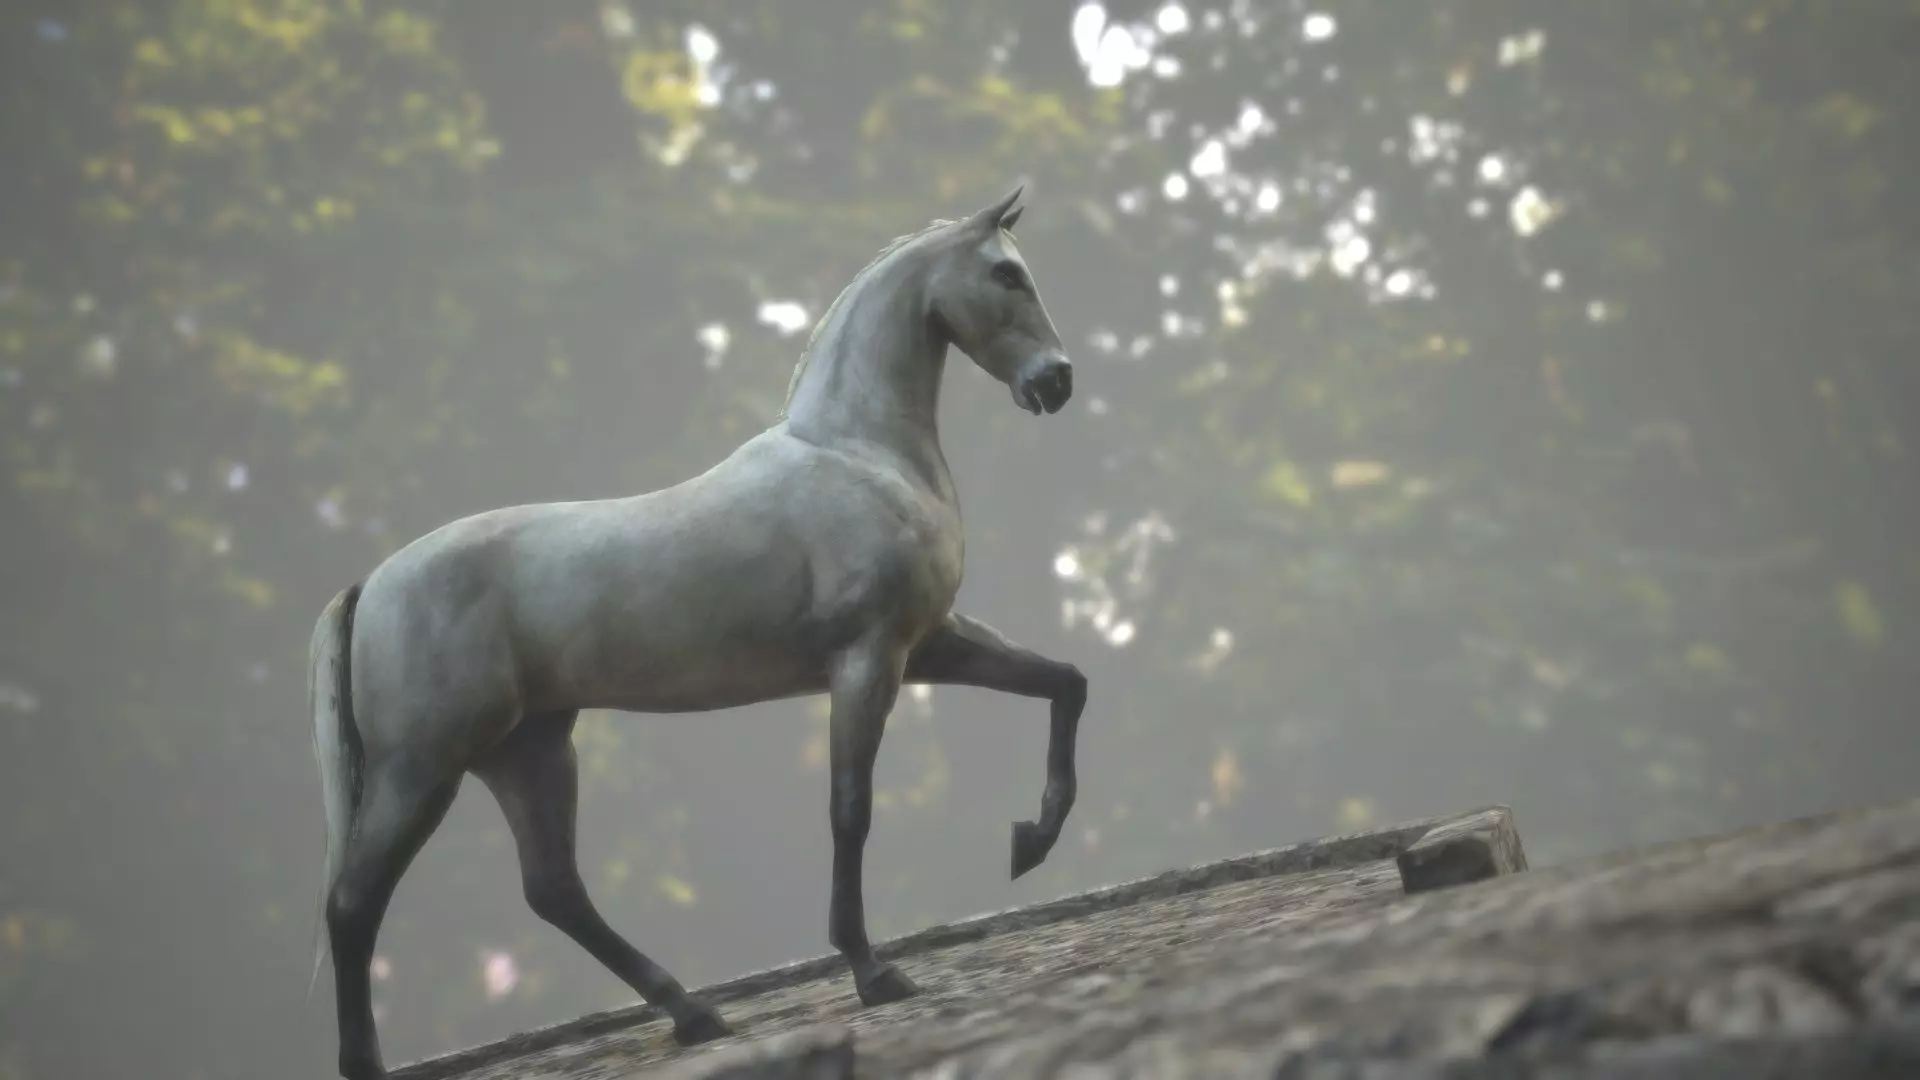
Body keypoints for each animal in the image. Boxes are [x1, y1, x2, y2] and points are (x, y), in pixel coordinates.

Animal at [308, 185, 1087, 1079]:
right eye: (1005, 274)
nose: (1056, 381)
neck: (859, 451)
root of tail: (371, 585)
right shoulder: (870, 660)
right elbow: (849, 809)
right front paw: (874, 973)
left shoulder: (929, 644)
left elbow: (1064, 681)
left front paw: (1031, 841)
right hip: (422, 768)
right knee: (355, 901)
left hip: (527, 751)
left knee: (554, 889)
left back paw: (695, 1014)